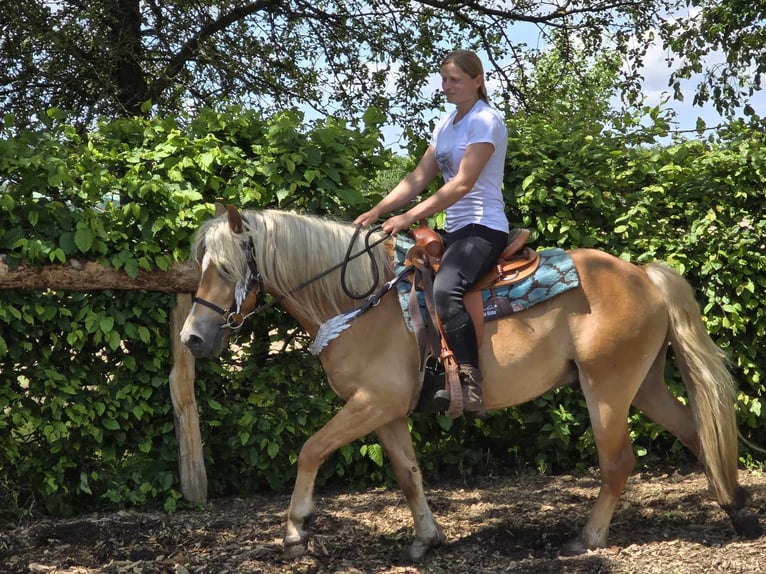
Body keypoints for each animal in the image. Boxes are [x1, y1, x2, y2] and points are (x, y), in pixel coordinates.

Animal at [182, 206, 760, 564]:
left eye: (228, 269)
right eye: (202, 266)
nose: (191, 338)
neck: (360, 303)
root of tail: (643, 275)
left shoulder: (370, 403)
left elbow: (310, 449)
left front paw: (296, 531)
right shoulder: (385, 410)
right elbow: (408, 473)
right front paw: (426, 539)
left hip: (607, 389)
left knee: (619, 462)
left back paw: (587, 538)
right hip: (644, 385)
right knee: (696, 434)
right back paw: (736, 511)